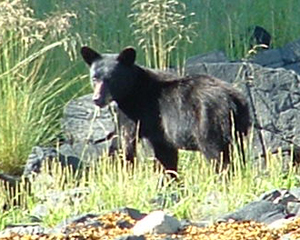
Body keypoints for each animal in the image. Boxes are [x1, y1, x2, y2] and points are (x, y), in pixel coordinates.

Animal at [81, 46, 252, 176]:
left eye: (111, 79)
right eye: (94, 78)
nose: (97, 99)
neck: (133, 89)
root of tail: (233, 100)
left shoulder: (136, 113)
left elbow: (125, 143)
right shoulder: (159, 131)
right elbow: (166, 156)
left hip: (209, 123)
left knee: (218, 155)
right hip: (239, 126)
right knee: (239, 153)